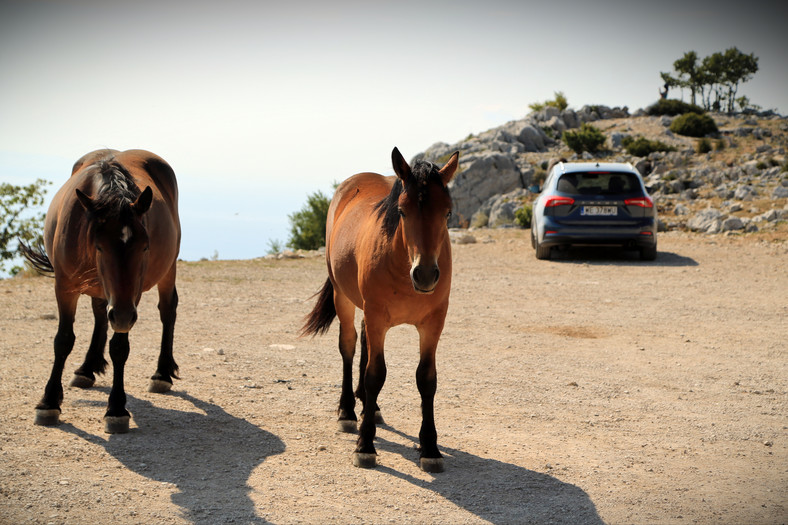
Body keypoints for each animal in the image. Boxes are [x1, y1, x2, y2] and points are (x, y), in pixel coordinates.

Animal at [21, 148, 183, 434]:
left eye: (145, 246)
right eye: (100, 246)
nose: (122, 315)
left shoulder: (130, 299)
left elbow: (119, 347)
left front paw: (116, 409)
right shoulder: (64, 287)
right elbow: (63, 340)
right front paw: (49, 402)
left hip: (167, 269)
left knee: (167, 311)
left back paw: (162, 374)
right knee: (100, 315)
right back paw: (87, 368)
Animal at [304, 146, 462, 470]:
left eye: (447, 212)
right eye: (402, 211)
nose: (425, 274)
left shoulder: (433, 323)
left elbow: (427, 379)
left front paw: (430, 448)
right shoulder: (377, 316)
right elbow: (375, 374)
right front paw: (365, 445)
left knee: (364, 344)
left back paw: (370, 406)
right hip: (343, 297)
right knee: (349, 346)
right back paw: (348, 411)